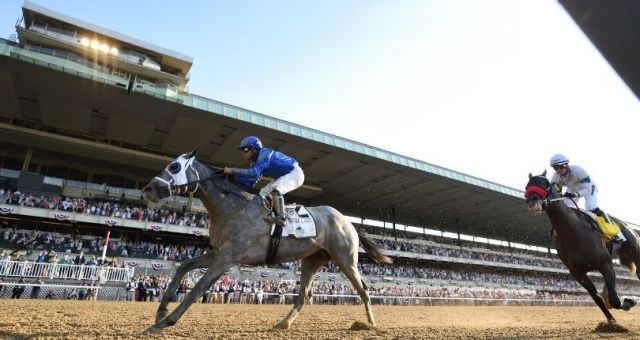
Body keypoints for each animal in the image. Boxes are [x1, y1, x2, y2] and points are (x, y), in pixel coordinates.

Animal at [141, 151, 390, 332]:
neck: (231, 207)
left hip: (345, 259)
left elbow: (197, 289)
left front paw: (163, 323)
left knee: (364, 290)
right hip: (312, 260)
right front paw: (161, 310)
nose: (147, 189)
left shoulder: (226, 258)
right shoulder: (219, 252)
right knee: (304, 296)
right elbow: (184, 266)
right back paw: (282, 324)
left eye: (174, 166)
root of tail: (348, 222)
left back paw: (370, 325)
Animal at [524, 171, 636, 322]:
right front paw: (611, 319)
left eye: (544, 183)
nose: (532, 201)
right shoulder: (578, 273)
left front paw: (630, 301)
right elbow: (598, 299)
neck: (572, 232)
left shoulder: (605, 264)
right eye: (527, 186)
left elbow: (614, 300)